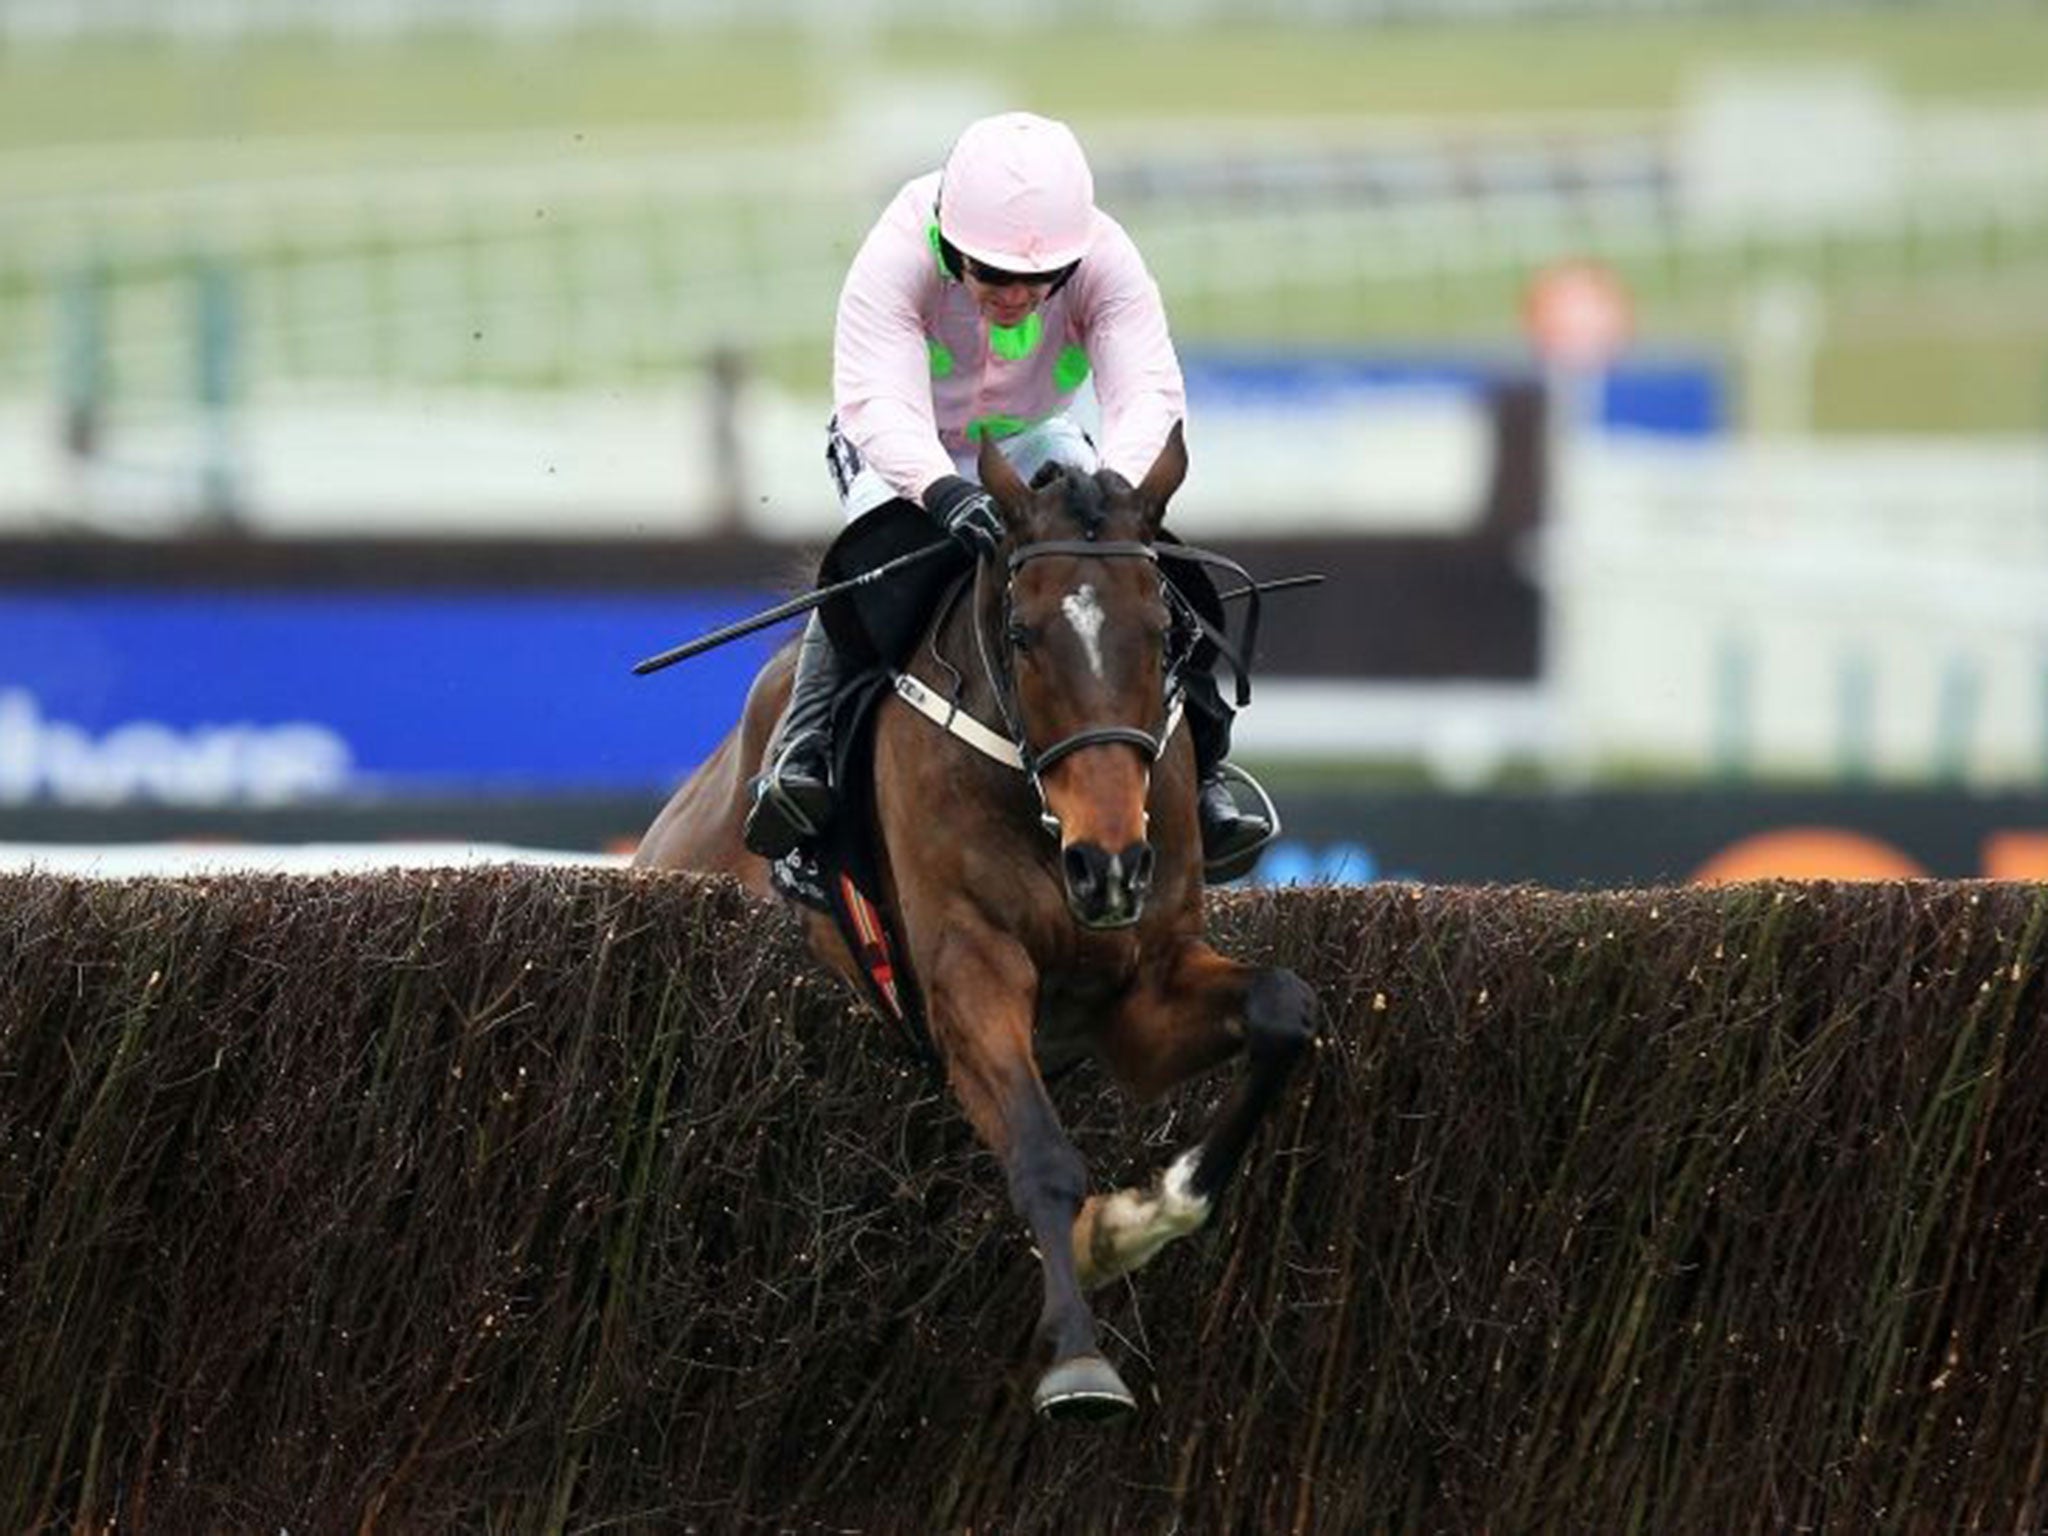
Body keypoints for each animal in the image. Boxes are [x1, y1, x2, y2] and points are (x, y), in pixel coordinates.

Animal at [630, 428, 1318, 1425]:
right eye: (1024, 635)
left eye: (1165, 634)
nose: (1110, 864)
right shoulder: (969, 974)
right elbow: (1040, 1153)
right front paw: (1080, 1356)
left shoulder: (1146, 992)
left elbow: (1282, 1010)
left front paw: (1133, 1224)